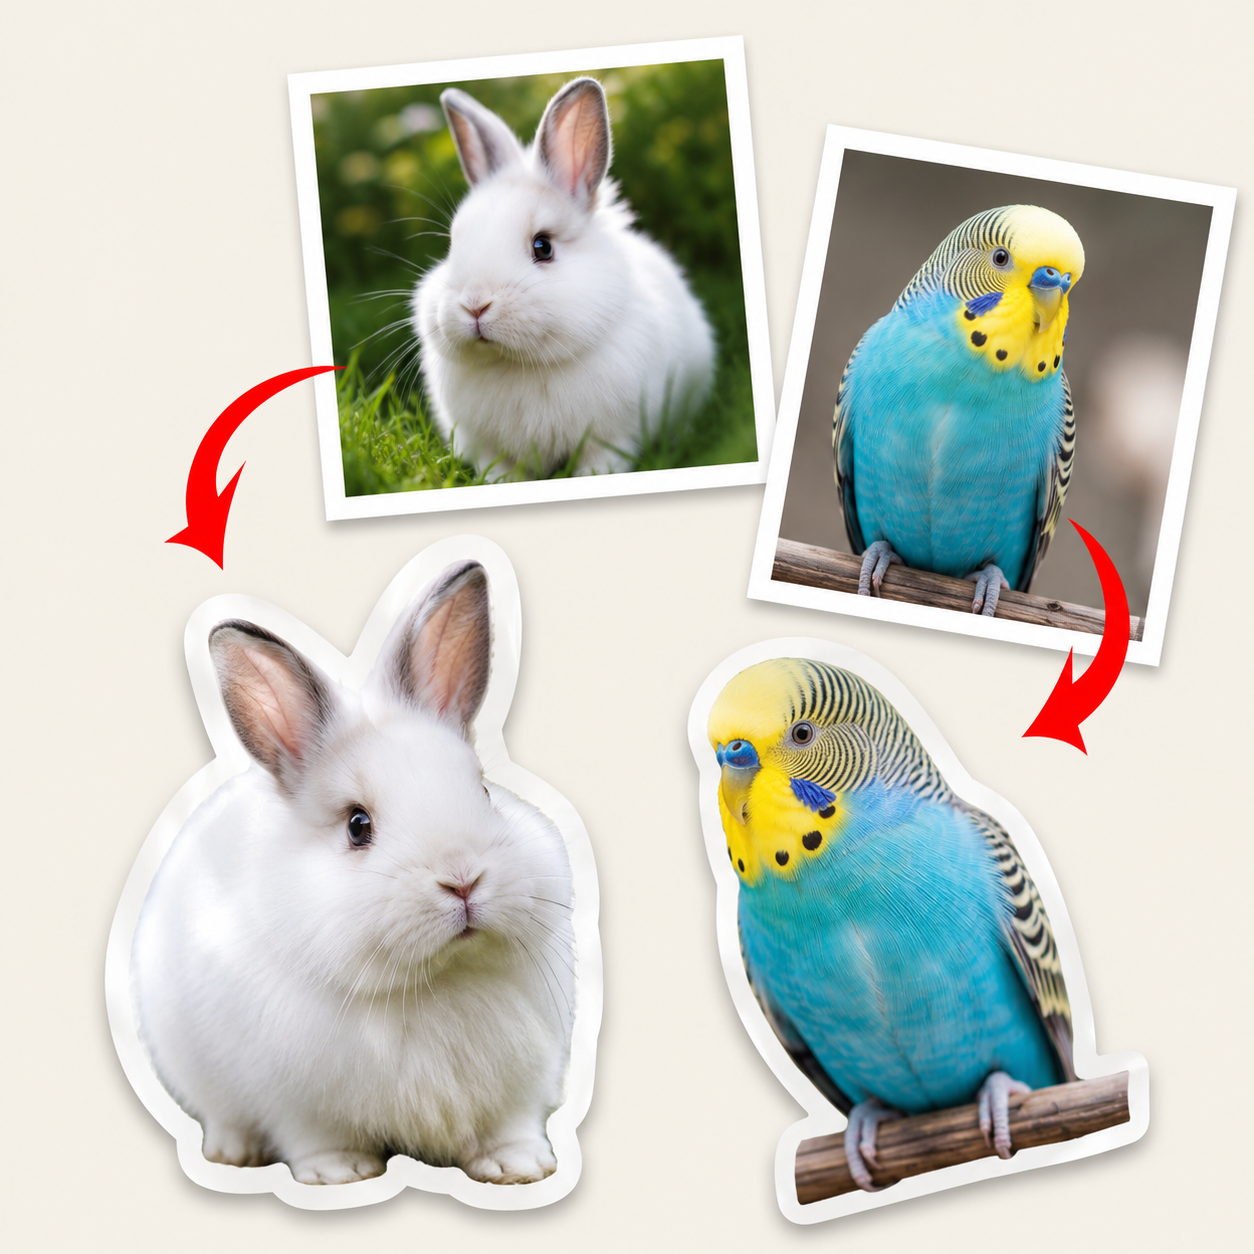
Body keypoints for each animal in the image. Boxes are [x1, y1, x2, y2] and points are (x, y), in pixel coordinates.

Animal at [131, 560, 576, 1186]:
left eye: (485, 792)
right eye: (357, 825)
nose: (463, 880)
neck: (436, 981)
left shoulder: (519, 1083)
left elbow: (508, 1126)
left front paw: (521, 1167)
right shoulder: (295, 1099)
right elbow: (315, 1136)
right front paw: (340, 1173)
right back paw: (232, 1154)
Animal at [411, 76, 716, 477]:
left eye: (543, 247)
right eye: (452, 244)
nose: (475, 305)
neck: (519, 364)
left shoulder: (611, 438)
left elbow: (600, 464)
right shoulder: (485, 446)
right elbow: (500, 470)